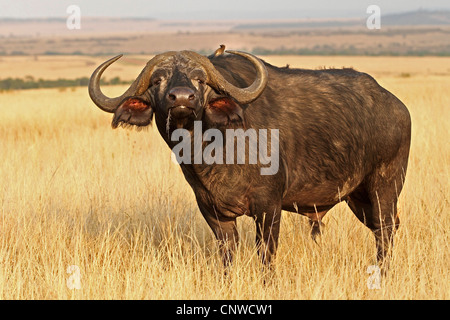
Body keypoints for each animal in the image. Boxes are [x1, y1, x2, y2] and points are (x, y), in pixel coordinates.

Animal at [88, 45, 412, 268]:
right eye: (158, 80)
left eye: (200, 80)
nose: (181, 98)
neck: (212, 150)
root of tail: (396, 106)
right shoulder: (213, 212)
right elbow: (227, 255)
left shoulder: (269, 208)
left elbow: (266, 254)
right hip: (357, 197)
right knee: (382, 228)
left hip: (384, 186)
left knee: (385, 230)